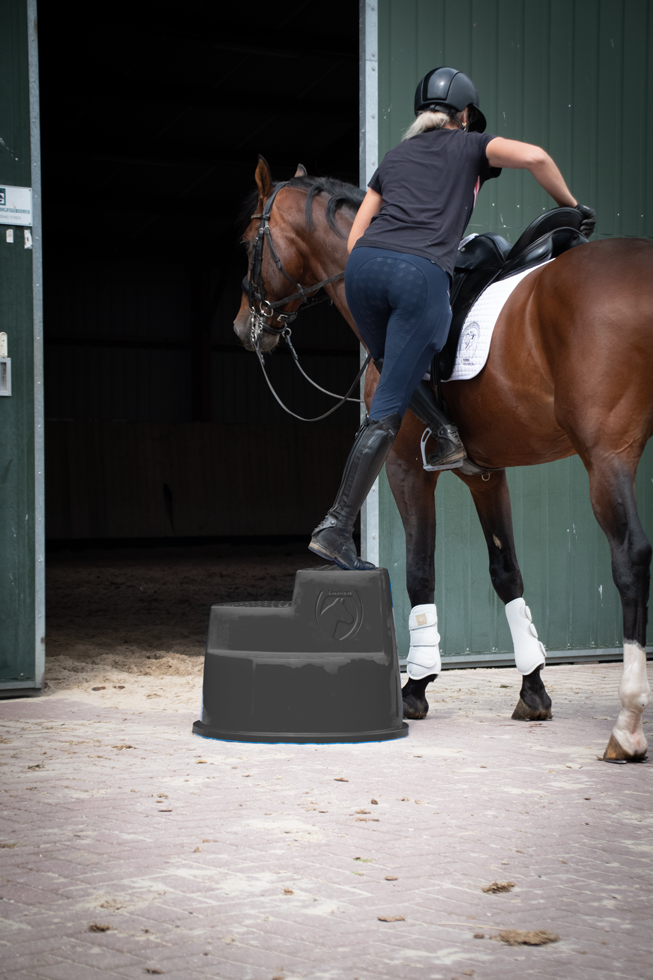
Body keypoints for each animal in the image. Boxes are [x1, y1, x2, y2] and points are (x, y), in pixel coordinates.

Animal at [233, 156, 653, 764]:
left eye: (249, 242)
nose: (245, 327)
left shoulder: (406, 468)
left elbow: (420, 572)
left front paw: (416, 685)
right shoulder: (487, 475)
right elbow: (507, 573)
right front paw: (532, 687)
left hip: (607, 458)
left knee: (630, 559)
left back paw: (627, 724)